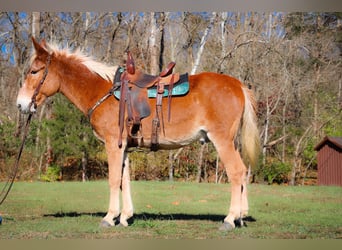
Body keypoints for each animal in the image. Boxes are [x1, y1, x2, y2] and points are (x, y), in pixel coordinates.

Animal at [16, 37, 260, 230]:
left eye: (34, 71)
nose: (20, 104)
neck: (102, 90)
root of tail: (238, 85)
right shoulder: (123, 147)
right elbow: (125, 180)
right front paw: (124, 217)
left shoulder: (113, 144)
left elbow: (114, 179)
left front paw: (109, 217)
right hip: (231, 142)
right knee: (242, 172)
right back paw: (240, 216)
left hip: (222, 141)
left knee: (236, 172)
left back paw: (230, 219)